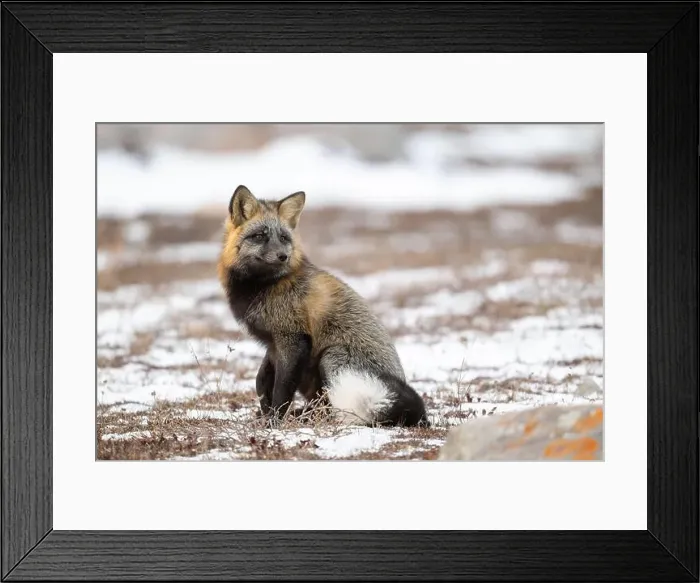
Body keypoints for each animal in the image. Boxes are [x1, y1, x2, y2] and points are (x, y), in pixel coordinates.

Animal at [217, 185, 429, 427]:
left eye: (283, 237)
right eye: (260, 235)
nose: (283, 256)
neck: (263, 286)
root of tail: (422, 419)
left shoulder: (293, 340)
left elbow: (281, 391)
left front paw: (275, 422)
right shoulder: (273, 343)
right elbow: (261, 380)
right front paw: (265, 412)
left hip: (332, 358)